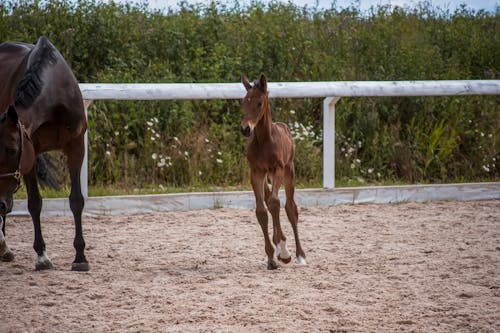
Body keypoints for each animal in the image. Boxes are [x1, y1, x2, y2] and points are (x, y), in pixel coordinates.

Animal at [0, 36, 89, 270]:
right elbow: (34, 203)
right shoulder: (31, 154)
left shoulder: (76, 147)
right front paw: (41, 255)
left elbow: (76, 200)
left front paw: (80, 257)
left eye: (12, 150)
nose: (0, 201)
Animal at [241, 74, 306, 268]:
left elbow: (276, 203)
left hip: (289, 171)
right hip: (267, 177)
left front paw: (284, 252)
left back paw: (299, 254)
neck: (264, 141)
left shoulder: (277, 169)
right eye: (243, 102)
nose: (245, 129)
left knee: (290, 208)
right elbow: (262, 211)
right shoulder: (256, 172)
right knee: (269, 203)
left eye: (259, 103)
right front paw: (271, 257)